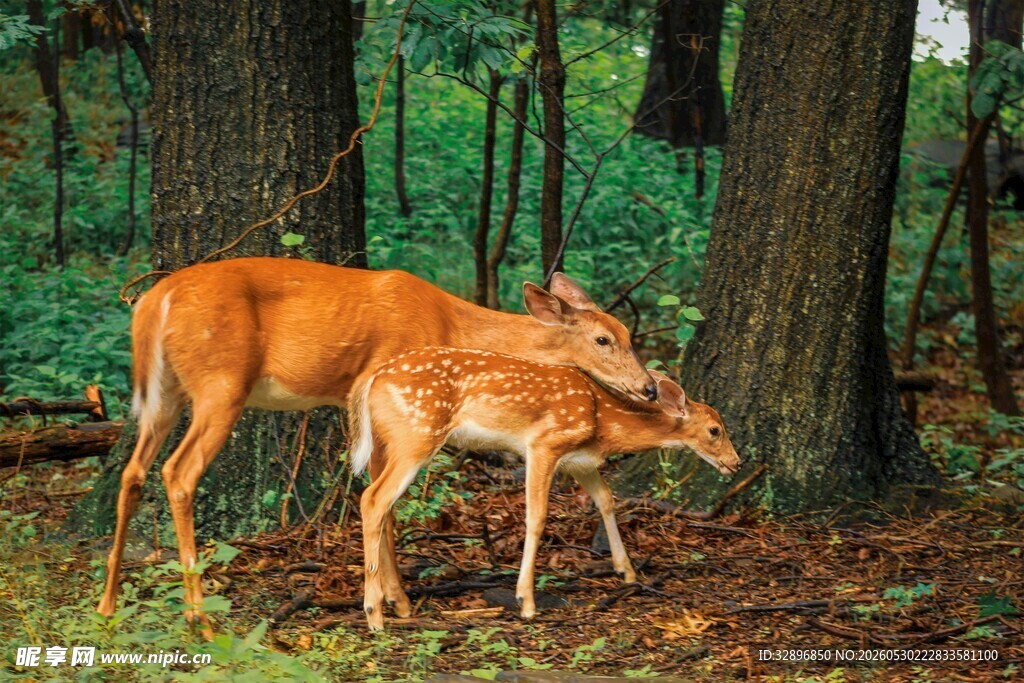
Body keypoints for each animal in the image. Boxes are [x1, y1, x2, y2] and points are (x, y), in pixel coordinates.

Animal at [96, 257, 656, 637]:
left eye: (630, 333)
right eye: (605, 339)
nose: (650, 387)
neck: (453, 323)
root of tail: (152, 302)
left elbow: (376, 498)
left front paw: (394, 598)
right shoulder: (394, 389)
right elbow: (382, 503)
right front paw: (394, 602)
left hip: (166, 390)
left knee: (132, 471)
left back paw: (107, 603)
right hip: (221, 383)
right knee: (178, 473)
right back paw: (200, 618)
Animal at [349, 347, 741, 630]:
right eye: (715, 430)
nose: (736, 463)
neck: (602, 420)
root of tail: (371, 380)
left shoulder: (579, 461)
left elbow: (606, 499)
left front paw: (626, 571)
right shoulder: (544, 444)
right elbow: (537, 517)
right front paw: (526, 601)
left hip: (387, 444)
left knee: (384, 508)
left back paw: (400, 603)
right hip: (417, 434)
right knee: (373, 500)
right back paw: (374, 615)